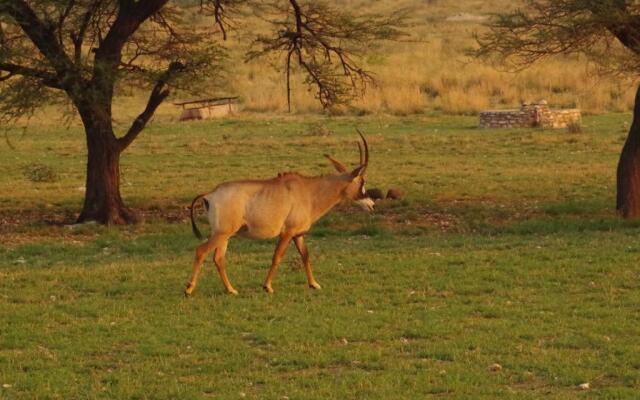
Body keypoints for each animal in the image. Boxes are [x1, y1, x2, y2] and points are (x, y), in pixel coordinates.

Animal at [185, 133, 372, 296]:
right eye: (362, 182)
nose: (371, 204)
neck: (309, 191)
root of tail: (210, 194)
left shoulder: (298, 234)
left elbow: (305, 256)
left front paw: (314, 284)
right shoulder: (287, 233)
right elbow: (277, 256)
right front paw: (267, 286)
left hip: (225, 235)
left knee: (218, 258)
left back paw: (231, 290)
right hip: (222, 233)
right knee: (201, 251)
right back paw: (189, 289)